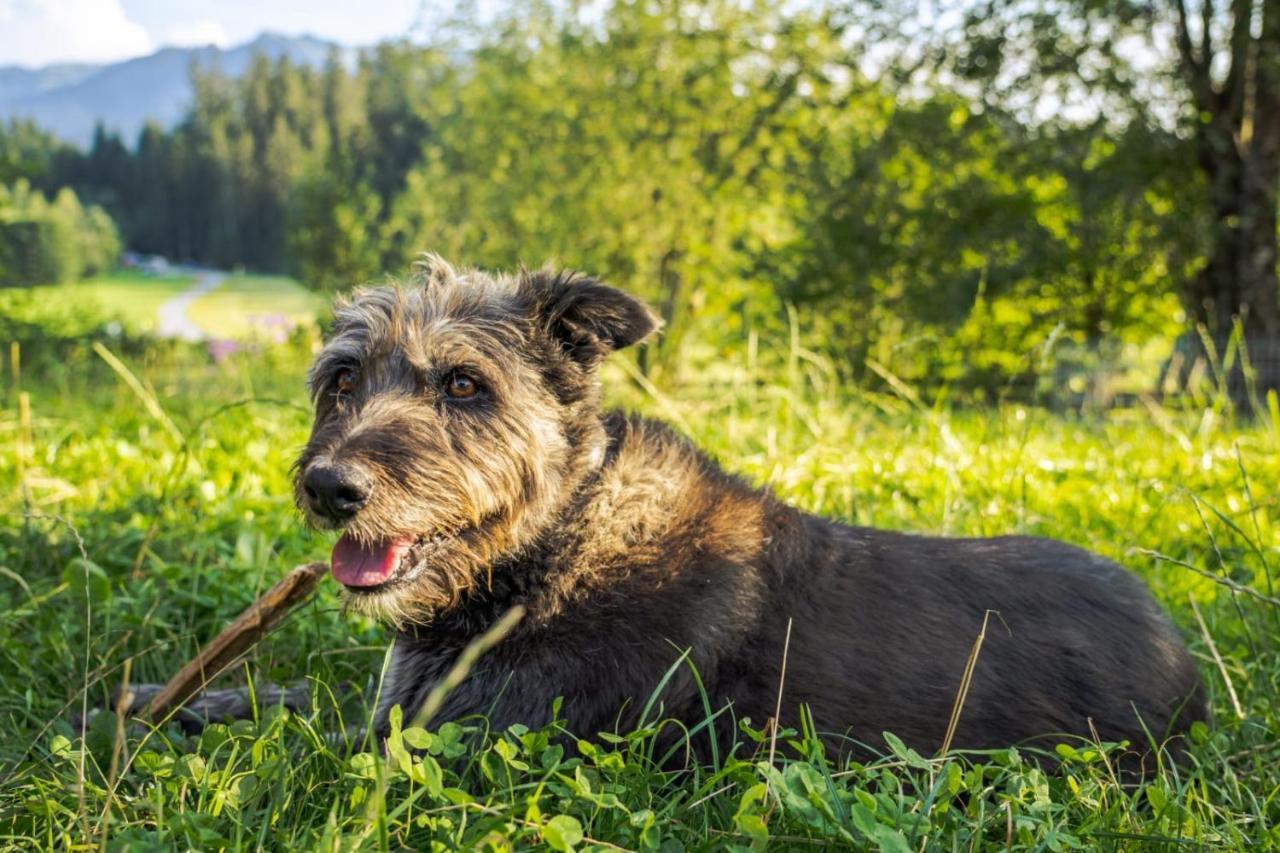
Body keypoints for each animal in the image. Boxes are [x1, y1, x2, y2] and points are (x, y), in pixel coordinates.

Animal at [285, 253, 1203, 763]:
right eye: (342, 378)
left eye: (464, 384)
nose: (329, 487)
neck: (559, 539)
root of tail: (1178, 652)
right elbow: (291, 695)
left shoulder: (463, 739)